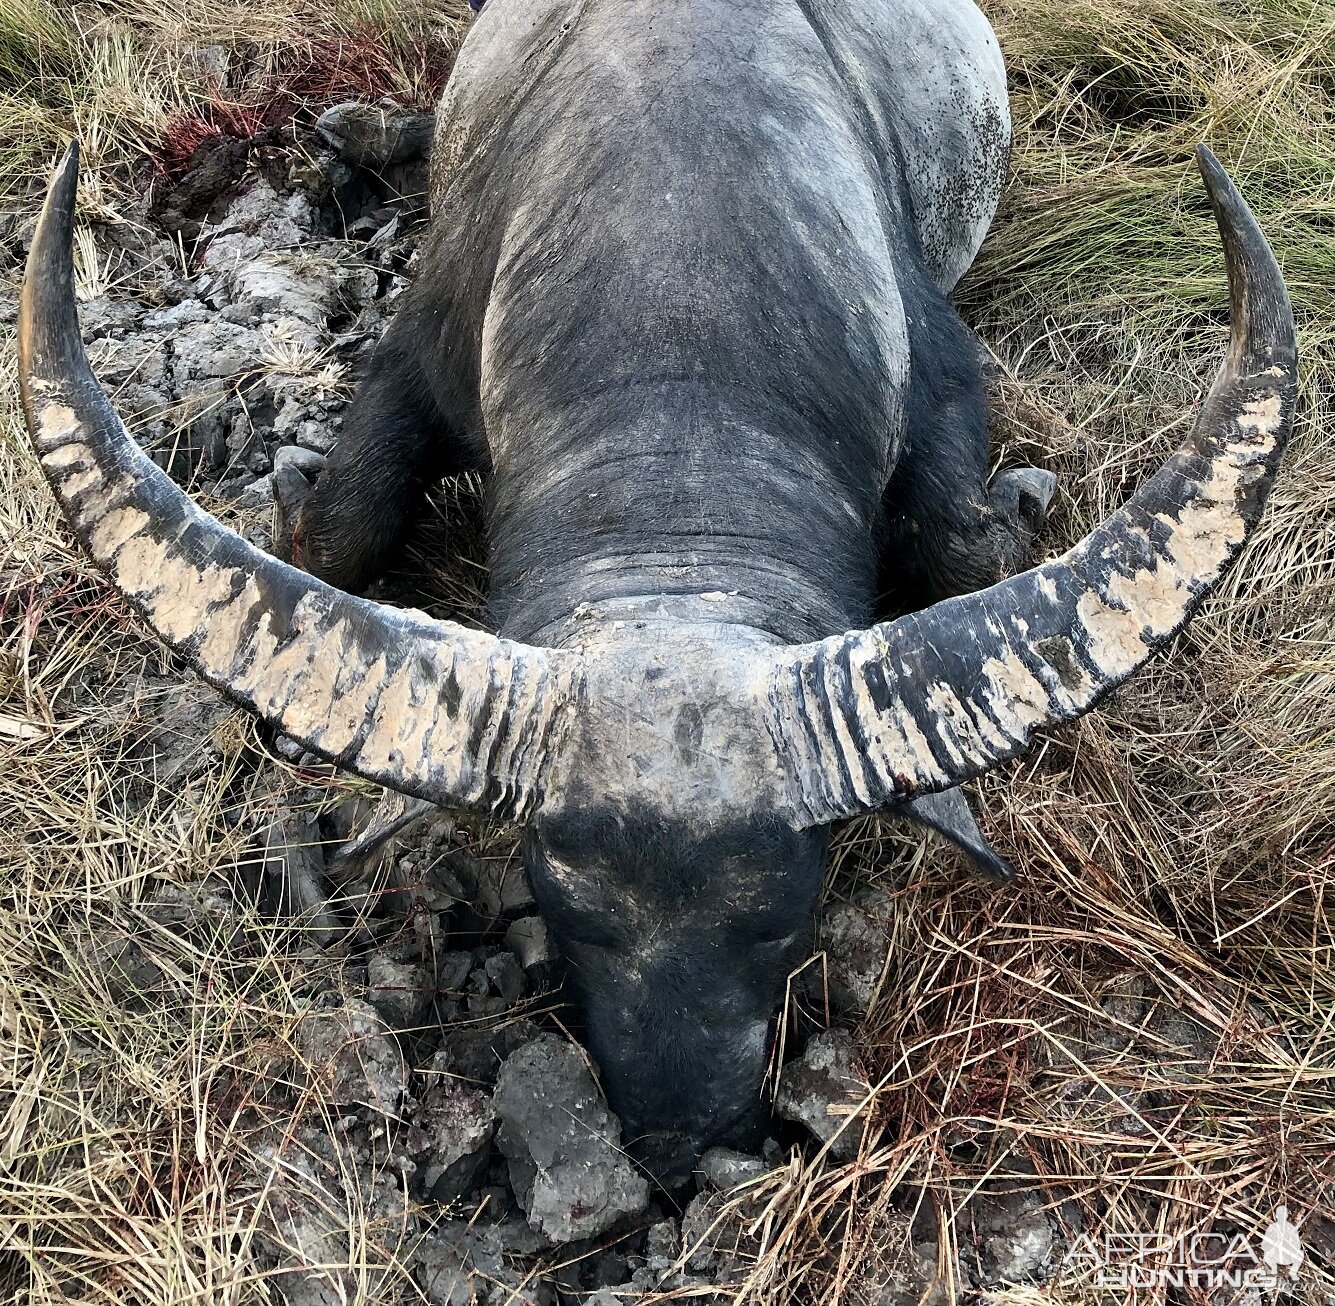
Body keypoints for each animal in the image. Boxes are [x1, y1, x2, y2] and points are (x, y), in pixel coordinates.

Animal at [18, 0, 1292, 1180]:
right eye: (564, 906)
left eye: (782, 915)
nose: (681, 1140)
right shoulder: (413, 361)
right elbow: (344, 520)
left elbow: (960, 544)